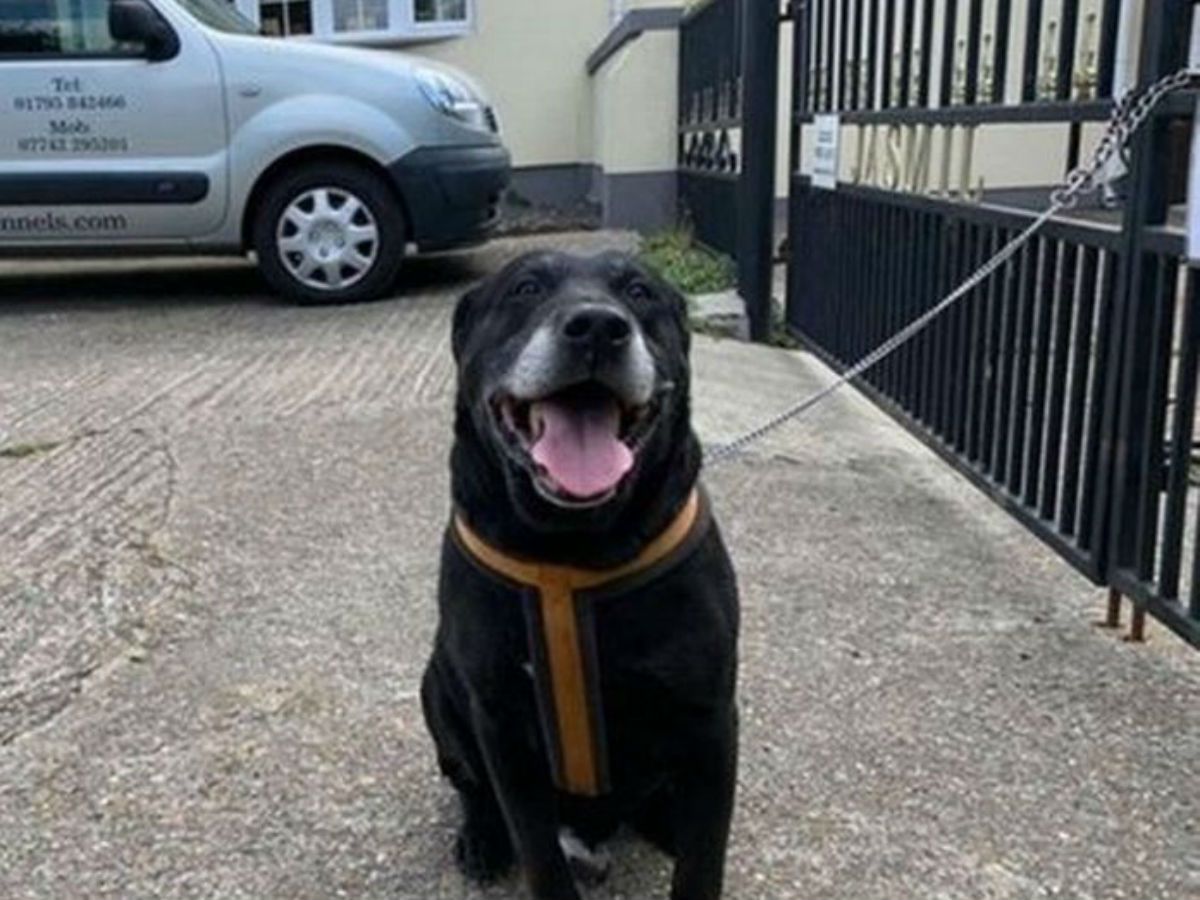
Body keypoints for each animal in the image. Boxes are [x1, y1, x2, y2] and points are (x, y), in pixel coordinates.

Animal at [421, 250, 739, 900]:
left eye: (640, 291)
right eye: (525, 288)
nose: (596, 326)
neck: (572, 546)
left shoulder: (710, 720)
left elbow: (703, 860)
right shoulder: (503, 726)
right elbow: (538, 849)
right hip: (434, 688)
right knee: (472, 787)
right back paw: (482, 837)